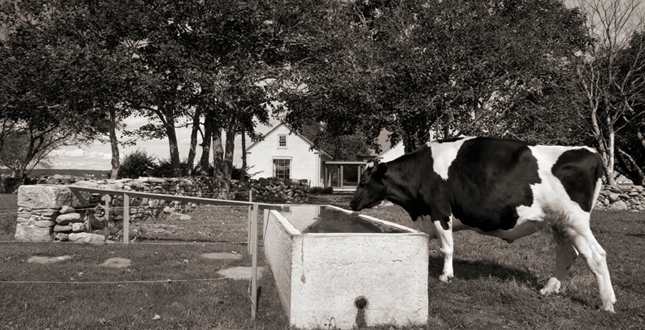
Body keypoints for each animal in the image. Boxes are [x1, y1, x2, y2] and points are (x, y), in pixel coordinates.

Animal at [350, 136, 616, 312]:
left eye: (363, 182)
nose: (352, 203)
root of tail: (591, 152)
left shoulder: (439, 211)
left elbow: (447, 247)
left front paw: (446, 275)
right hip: (559, 223)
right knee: (567, 254)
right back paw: (548, 289)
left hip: (576, 220)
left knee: (596, 255)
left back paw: (607, 303)